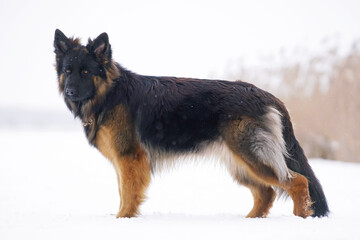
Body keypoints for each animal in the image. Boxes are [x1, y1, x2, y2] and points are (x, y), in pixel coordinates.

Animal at [52, 29, 330, 218]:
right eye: (67, 70)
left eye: (85, 71)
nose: (70, 91)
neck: (109, 94)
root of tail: (267, 95)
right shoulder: (124, 161)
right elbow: (122, 191)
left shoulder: (129, 159)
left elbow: (128, 193)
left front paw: (123, 219)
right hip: (241, 163)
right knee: (267, 193)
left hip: (252, 156)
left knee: (297, 182)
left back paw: (300, 218)